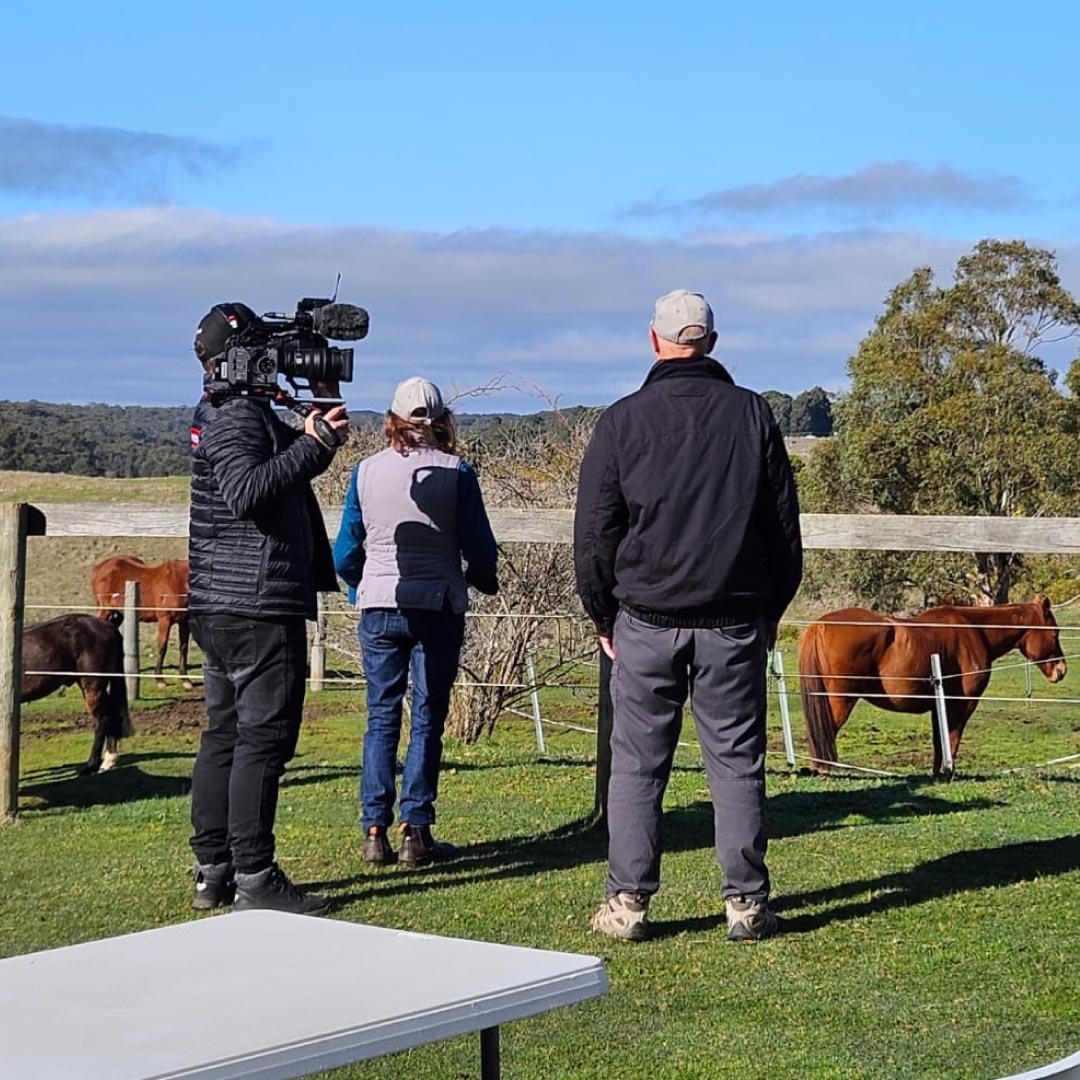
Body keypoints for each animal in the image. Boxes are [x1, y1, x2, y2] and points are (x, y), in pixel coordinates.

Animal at [799, 600, 1067, 777]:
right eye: (1054, 633)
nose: (1061, 670)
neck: (974, 630)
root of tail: (819, 626)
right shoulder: (961, 704)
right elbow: (952, 737)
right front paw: (948, 772)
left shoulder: (939, 704)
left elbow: (940, 740)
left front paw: (937, 772)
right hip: (840, 700)